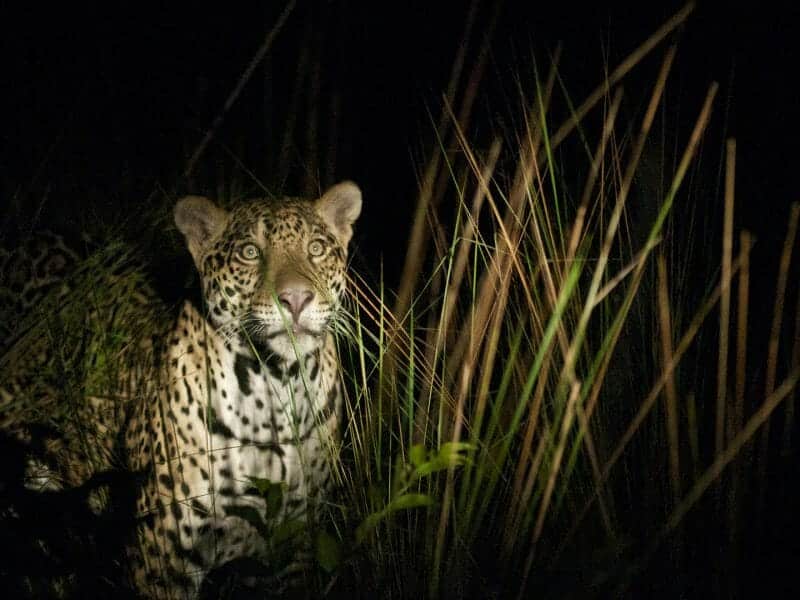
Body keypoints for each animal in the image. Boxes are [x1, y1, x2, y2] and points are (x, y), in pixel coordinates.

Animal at [0, 181, 362, 599]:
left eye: (316, 248)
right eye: (250, 253)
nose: (296, 299)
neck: (274, 391)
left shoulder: (295, 549)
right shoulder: (161, 557)